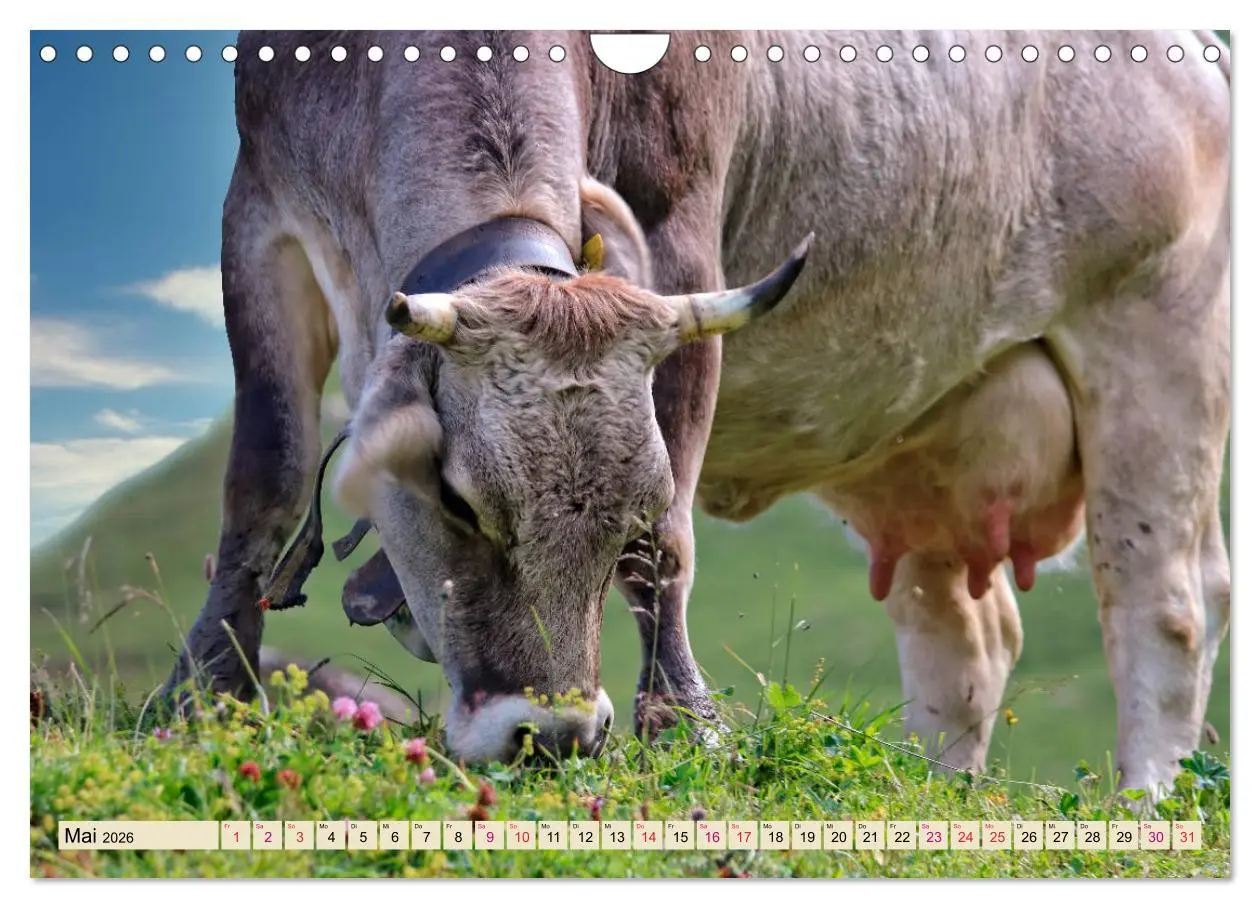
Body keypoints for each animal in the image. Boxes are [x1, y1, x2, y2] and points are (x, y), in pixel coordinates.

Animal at [166, 29, 1230, 793]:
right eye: (460, 502)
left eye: (626, 512)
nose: (550, 735)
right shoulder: (256, 211)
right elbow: (264, 472)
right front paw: (202, 697)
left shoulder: (681, 243)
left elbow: (670, 543)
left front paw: (682, 726)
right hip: (927, 445)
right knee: (970, 638)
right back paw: (943, 793)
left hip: (1162, 344)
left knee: (1166, 603)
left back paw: (1145, 804)